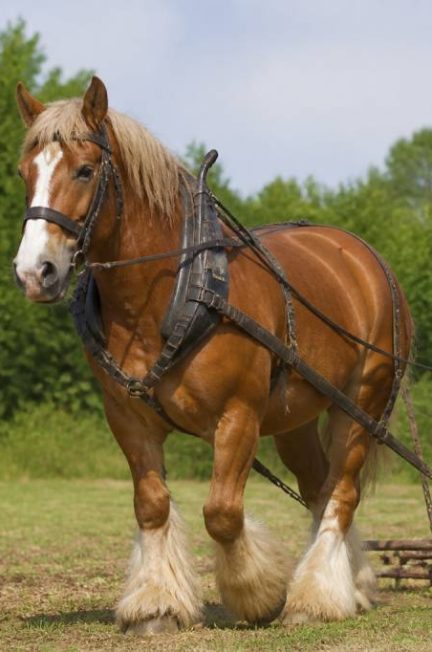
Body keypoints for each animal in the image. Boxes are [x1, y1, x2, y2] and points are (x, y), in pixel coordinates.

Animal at [13, 76, 412, 635]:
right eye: (24, 172)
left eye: (85, 170)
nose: (34, 272)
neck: (170, 292)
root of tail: (365, 257)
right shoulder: (127, 416)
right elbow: (152, 504)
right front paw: (157, 604)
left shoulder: (238, 415)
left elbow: (222, 512)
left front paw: (257, 593)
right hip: (295, 419)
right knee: (319, 488)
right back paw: (347, 585)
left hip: (363, 403)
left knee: (342, 494)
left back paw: (313, 597)